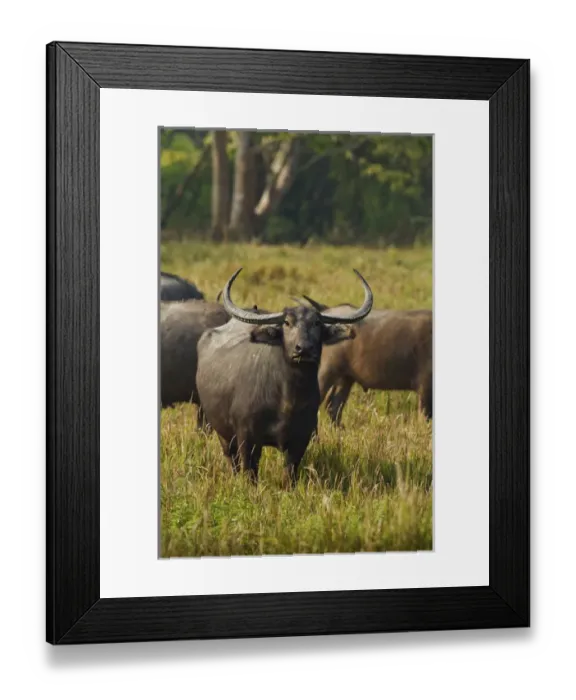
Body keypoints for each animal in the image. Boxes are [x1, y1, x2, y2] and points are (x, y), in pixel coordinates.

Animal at [196, 268, 373, 486]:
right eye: (287, 323)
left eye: (317, 323)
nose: (303, 349)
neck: (287, 398)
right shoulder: (247, 437)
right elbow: (250, 472)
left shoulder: (301, 438)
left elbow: (290, 474)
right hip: (221, 430)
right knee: (232, 460)